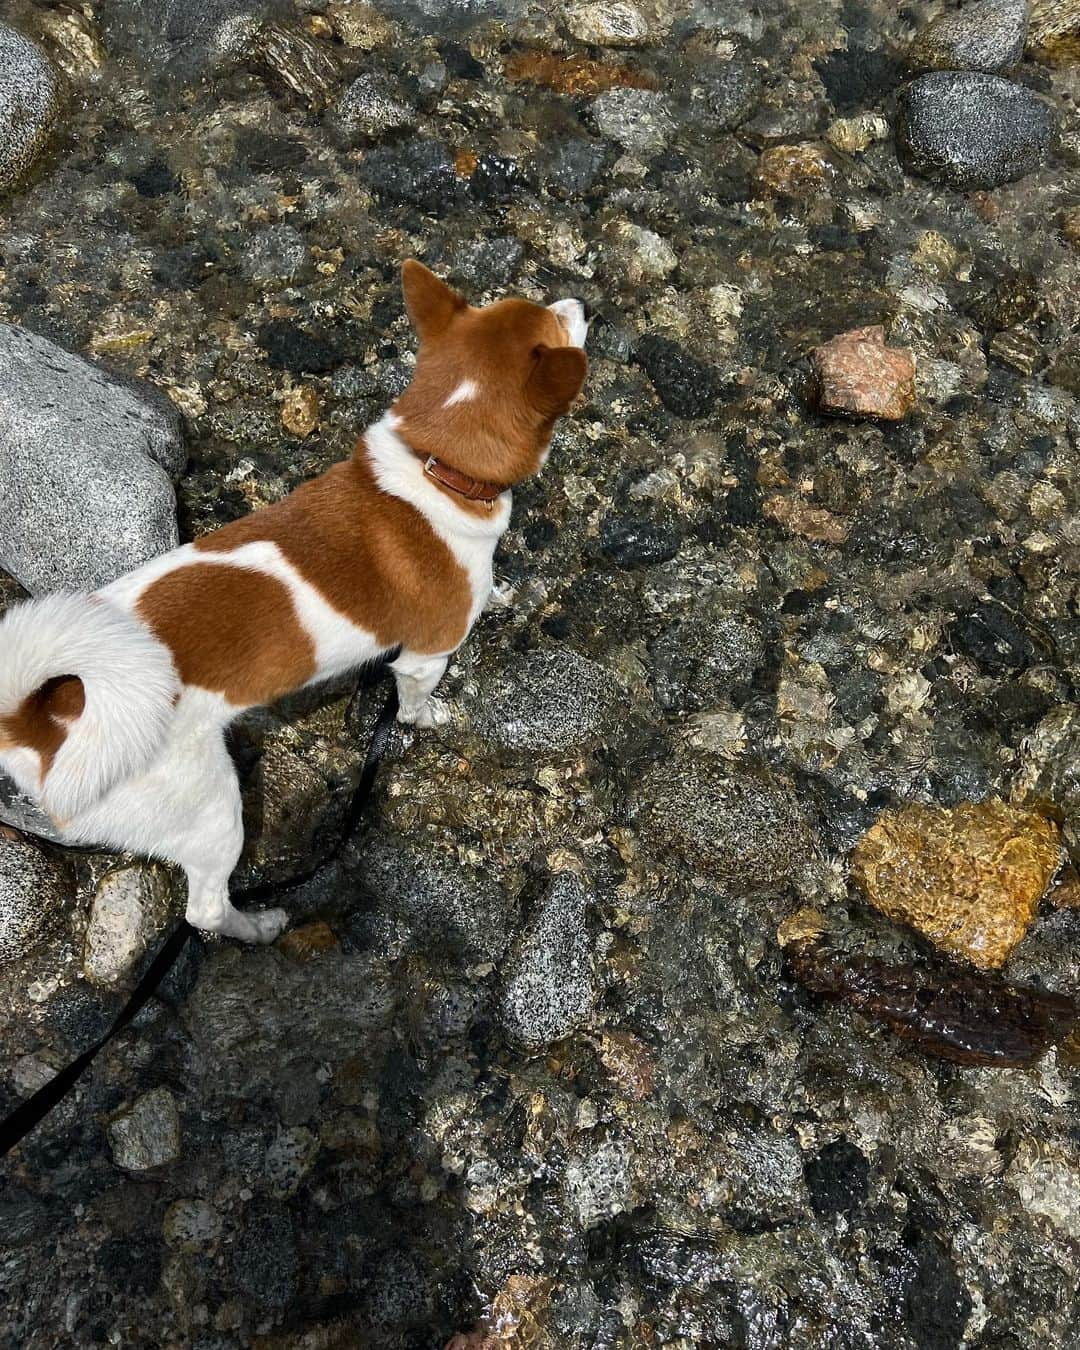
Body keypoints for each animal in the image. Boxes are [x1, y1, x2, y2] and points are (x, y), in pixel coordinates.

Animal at [0, 260, 591, 939]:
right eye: (559, 325)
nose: (581, 302)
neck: (435, 465)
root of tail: (43, 720)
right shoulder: (423, 656)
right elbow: (416, 698)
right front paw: (428, 718)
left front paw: (500, 594)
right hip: (211, 809)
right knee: (205, 908)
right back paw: (259, 926)